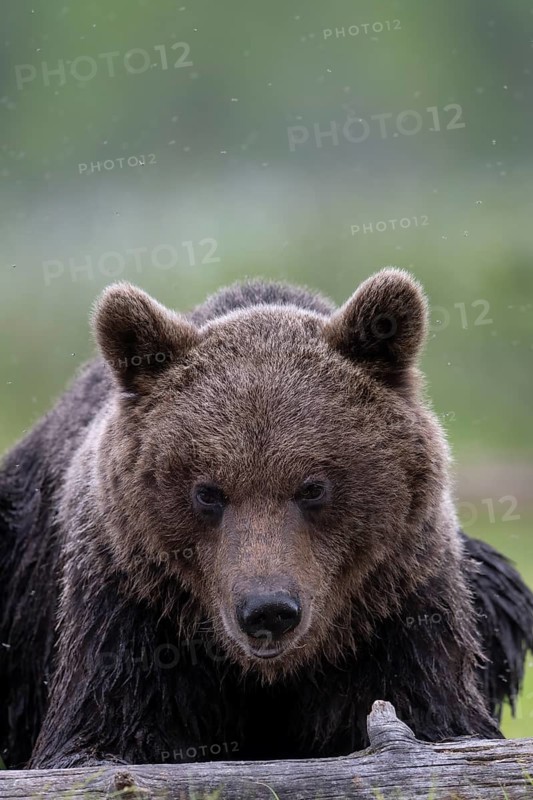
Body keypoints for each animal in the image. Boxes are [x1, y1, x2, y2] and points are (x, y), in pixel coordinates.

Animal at [0, 268, 532, 769]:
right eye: (208, 491)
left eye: (313, 486)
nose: (268, 610)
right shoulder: (131, 602)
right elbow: (104, 732)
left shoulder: (399, 606)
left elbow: (429, 714)